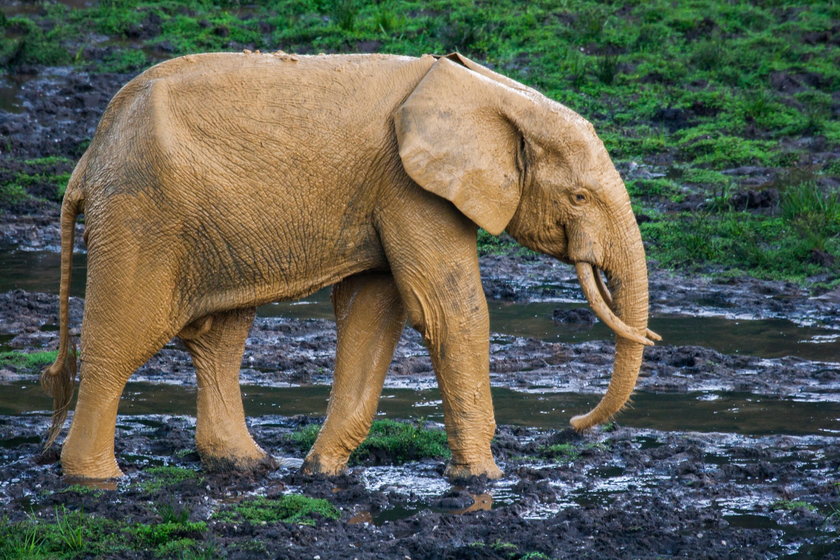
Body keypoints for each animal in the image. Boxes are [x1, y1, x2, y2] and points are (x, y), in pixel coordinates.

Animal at [41, 51, 656, 482]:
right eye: (579, 198)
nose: (573, 426)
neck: (489, 94)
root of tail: (89, 158)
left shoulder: (388, 190)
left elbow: (372, 313)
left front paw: (321, 473)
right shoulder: (411, 187)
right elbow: (448, 311)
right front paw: (483, 479)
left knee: (219, 338)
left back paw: (248, 466)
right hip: (141, 213)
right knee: (121, 340)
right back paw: (96, 480)